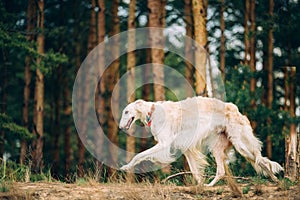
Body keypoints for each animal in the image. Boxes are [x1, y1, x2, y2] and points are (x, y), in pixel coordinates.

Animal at [118, 97, 282, 186]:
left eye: (126, 112)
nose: (119, 127)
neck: (152, 112)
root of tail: (236, 110)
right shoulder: (185, 148)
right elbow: (195, 171)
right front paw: (200, 185)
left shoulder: (165, 143)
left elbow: (139, 155)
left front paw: (126, 167)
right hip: (219, 148)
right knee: (224, 171)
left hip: (241, 145)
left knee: (261, 160)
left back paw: (276, 179)